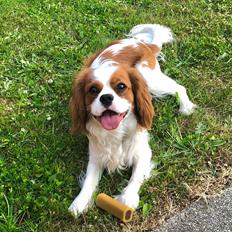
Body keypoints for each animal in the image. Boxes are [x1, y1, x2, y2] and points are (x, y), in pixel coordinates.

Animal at [68, 23, 195, 216]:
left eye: (121, 87)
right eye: (93, 90)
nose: (106, 98)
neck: (116, 132)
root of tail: (141, 44)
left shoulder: (143, 152)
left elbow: (136, 177)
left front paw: (127, 198)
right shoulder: (96, 156)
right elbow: (89, 181)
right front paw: (80, 202)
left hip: (150, 80)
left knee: (178, 87)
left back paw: (185, 106)